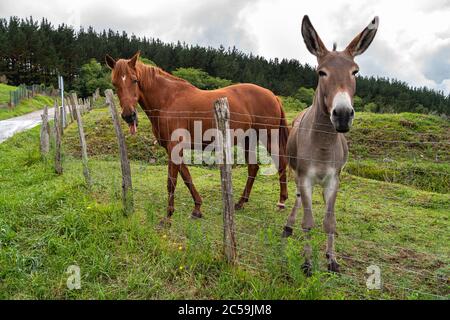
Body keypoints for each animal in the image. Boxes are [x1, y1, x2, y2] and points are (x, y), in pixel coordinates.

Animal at [105, 52, 288, 222]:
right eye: (114, 83)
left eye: (134, 80)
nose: (129, 115)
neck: (168, 100)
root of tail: (273, 95)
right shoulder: (172, 149)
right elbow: (186, 177)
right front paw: (197, 208)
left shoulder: (174, 147)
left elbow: (172, 181)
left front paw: (168, 217)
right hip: (248, 139)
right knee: (253, 168)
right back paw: (241, 202)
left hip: (268, 137)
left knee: (280, 163)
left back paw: (281, 202)